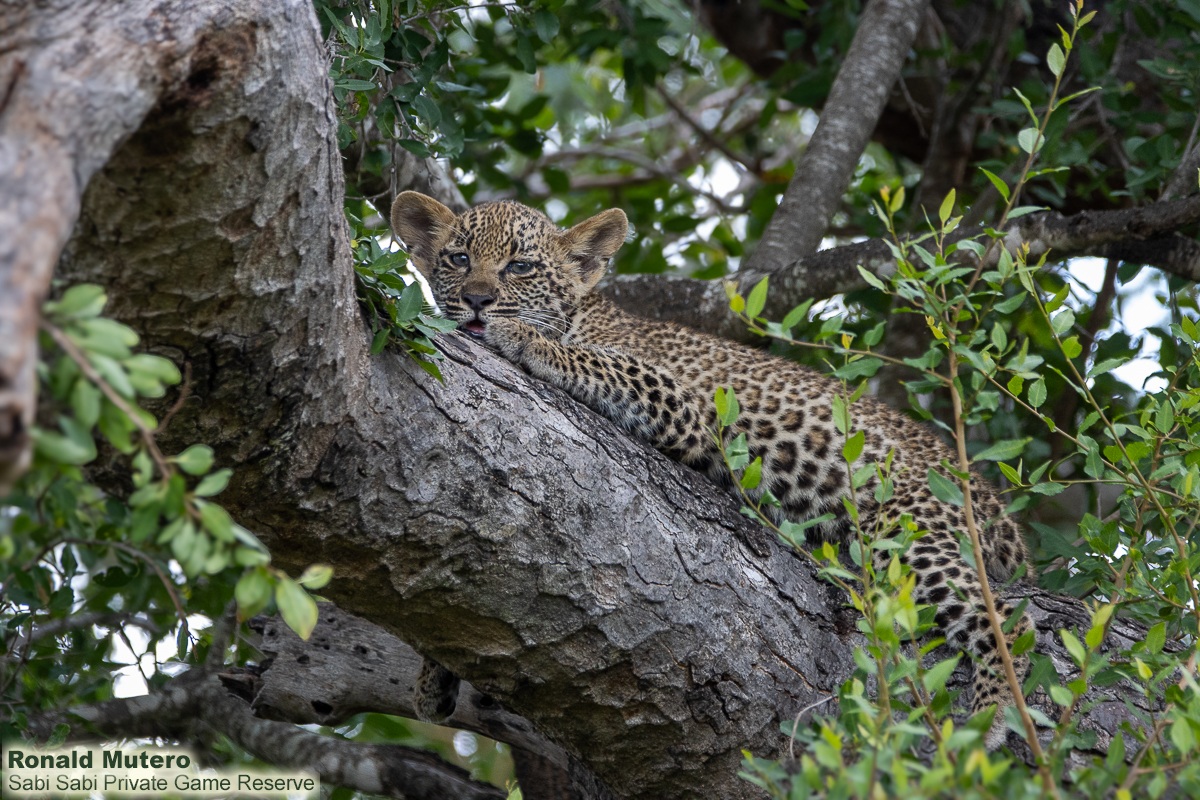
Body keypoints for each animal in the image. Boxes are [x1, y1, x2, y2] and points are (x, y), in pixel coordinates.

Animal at [389, 190, 1034, 749]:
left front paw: (521, 334)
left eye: (520, 267)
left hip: (906, 528)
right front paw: (432, 678)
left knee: (1003, 616)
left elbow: (590, 359)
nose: (477, 300)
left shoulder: (687, 406)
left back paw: (994, 715)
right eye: (458, 259)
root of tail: (994, 503)